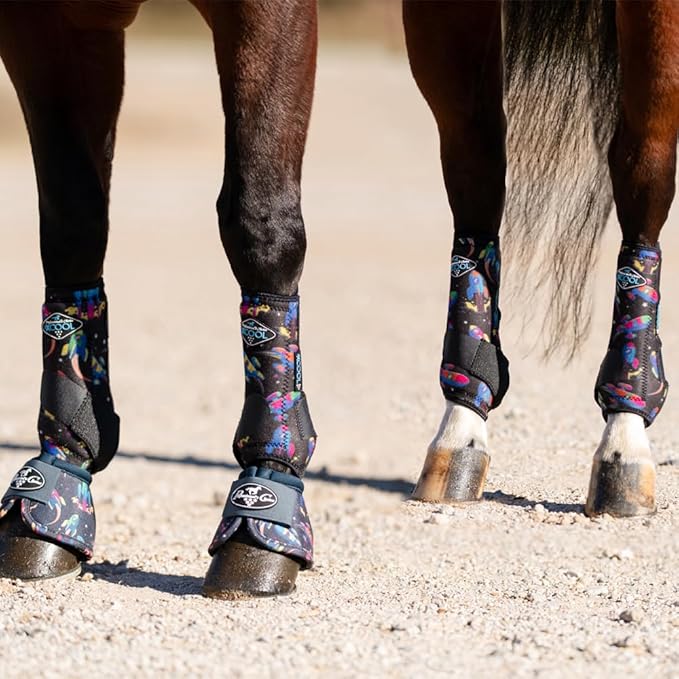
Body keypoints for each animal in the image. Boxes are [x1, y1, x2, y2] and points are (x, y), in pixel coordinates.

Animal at [0, 0, 677, 601]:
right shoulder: (47, 22)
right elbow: (72, 227)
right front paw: (56, 482)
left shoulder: (267, 11)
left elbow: (260, 220)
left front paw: (263, 509)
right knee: (478, 158)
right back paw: (464, 425)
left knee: (641, 161)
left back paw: (625, 435)